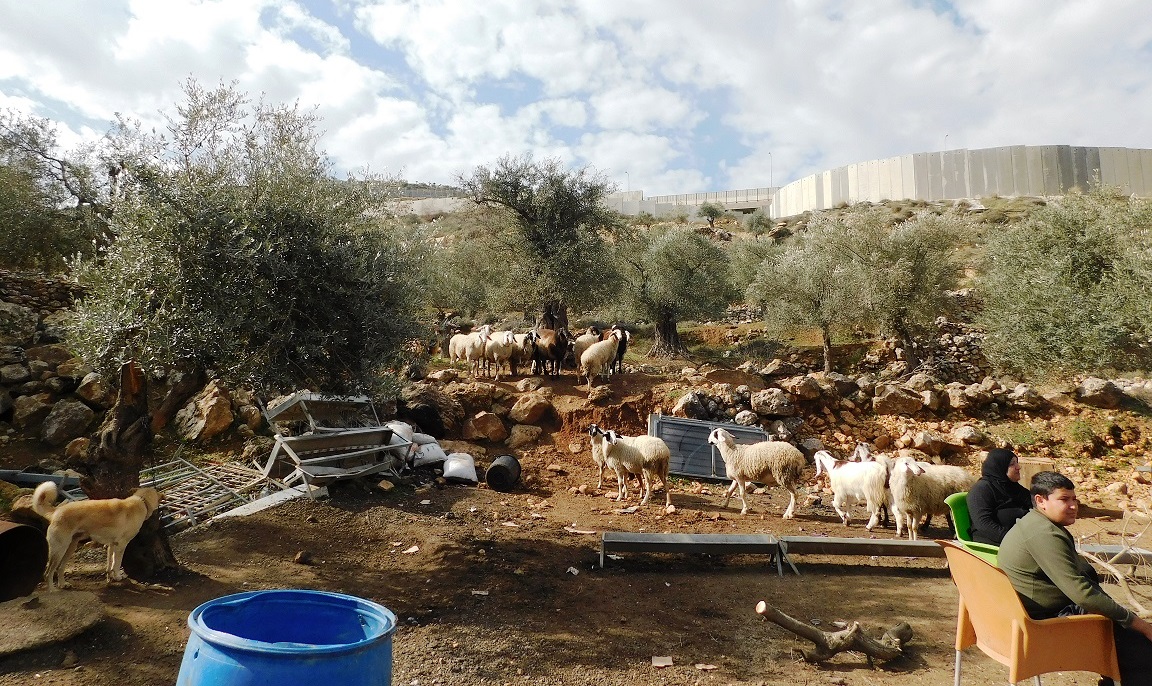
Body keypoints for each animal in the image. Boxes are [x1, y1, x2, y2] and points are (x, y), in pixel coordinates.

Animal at [31, 484, 162, 590]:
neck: (142, 501)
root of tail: (56, 511)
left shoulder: (112, 544)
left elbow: (111, 563)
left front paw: (111, 577)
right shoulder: (121, 545)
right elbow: (117, 563)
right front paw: (117, 577)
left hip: (70, 547)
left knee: (60, 568)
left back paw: (63, 584)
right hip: (59, 549)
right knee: (48, 573)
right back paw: (53, 591)